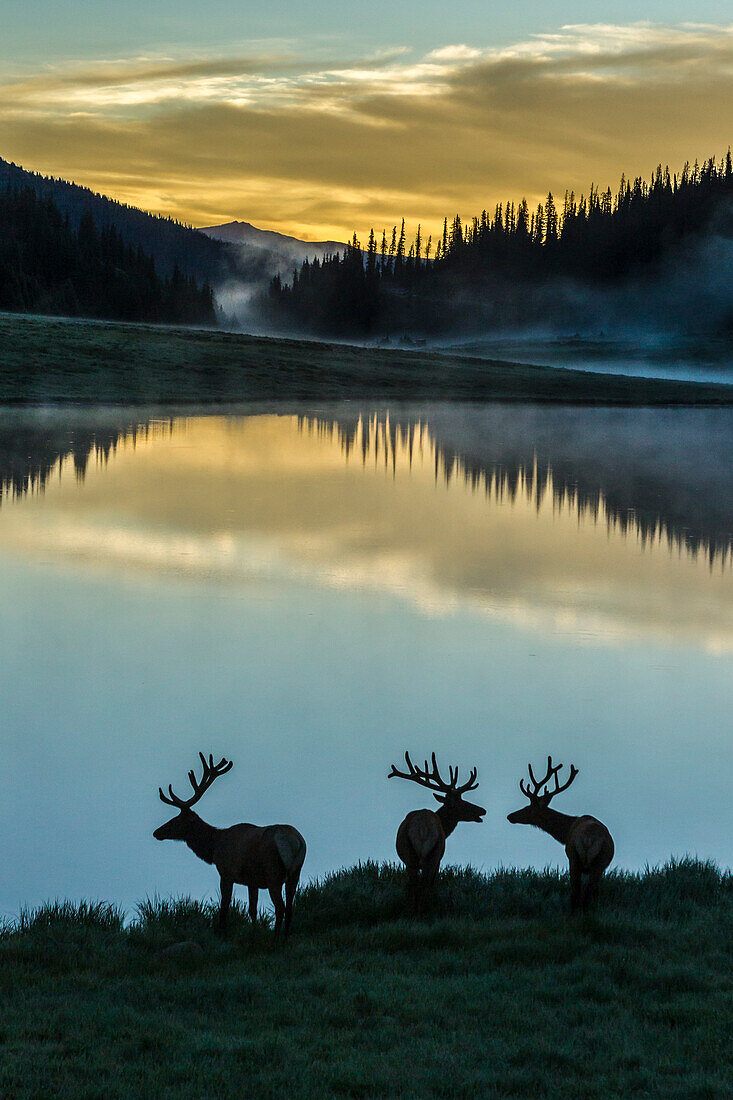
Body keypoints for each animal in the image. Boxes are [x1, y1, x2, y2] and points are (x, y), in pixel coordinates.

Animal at [152, 756, 303, 946]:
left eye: (177, 819)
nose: (156, 832)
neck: (214, 847)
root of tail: (294, 841)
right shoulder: (252, 880)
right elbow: (252, 910)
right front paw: (254, 934)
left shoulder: (226, 872)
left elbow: (224, 907)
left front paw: (222, 935)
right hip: (295, 872)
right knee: (290, 907)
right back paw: (284, 939)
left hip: (273, 873)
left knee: (280, 907)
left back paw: (275, 942)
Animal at [387, 752, 484, 915]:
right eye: (462, 803)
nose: (483, 810)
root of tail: (423, 828)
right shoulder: (438, 859)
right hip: (432, 853)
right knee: (423, 885)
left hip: (415, 856)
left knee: (418, 885)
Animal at [501, 756, 611, 910]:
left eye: (528, 808)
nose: (510, 816)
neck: (566, 832)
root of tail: (589, 839)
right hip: (595, 862)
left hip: (576, 858)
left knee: (577, 891)